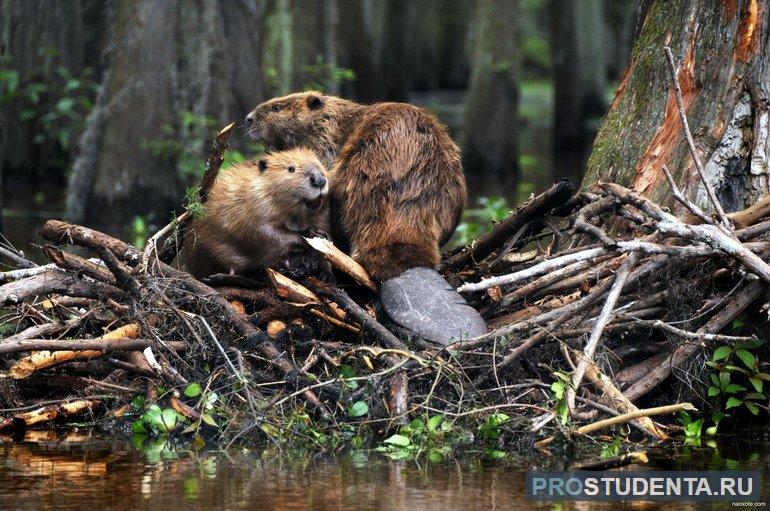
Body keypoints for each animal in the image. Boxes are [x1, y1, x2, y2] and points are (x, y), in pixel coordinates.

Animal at [186, 148, 332, 280]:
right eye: (291, 168)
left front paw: (325, 272)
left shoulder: (322, 215)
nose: (319, 180)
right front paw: (311, 233)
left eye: (319, 164)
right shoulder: (255, 205)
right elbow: (265, 232)